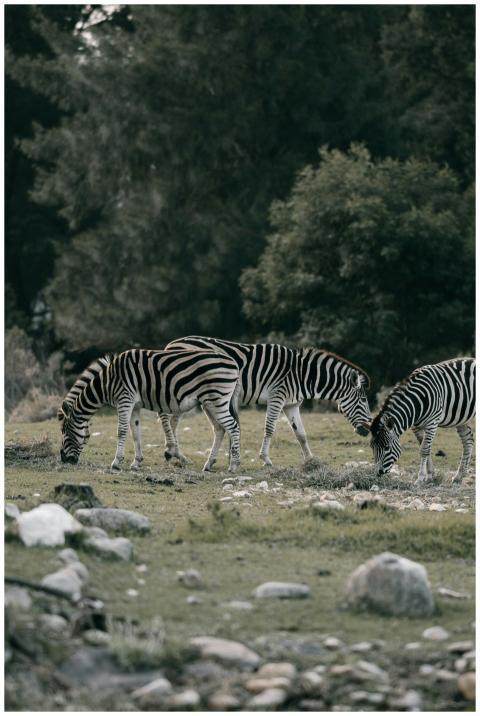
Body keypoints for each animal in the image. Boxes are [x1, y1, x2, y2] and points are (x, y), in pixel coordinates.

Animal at [58, 348, 241, 472]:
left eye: (65, 431)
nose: (63, 459)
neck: (108, 382)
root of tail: (234, 363)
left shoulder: (125, 399)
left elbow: (121, 431)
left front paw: (116, 462)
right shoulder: (135, 405)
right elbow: (135, 432)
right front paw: (136, 462)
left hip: (217, 400)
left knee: (233, 427)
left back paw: (234, 465)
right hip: (209, 403)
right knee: (219, 429)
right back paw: (209, 464)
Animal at [160, 336, 371, 468]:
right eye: (363, 400)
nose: (368, 430)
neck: (302, 375)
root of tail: (170, 345)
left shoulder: (291, 404)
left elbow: (301, 434)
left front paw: (311, 460)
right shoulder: (277, 396)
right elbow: (270, 428)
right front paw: (265, 459)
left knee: (173, 421)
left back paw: (179, 455)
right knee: (167, 419)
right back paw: (172, 452)